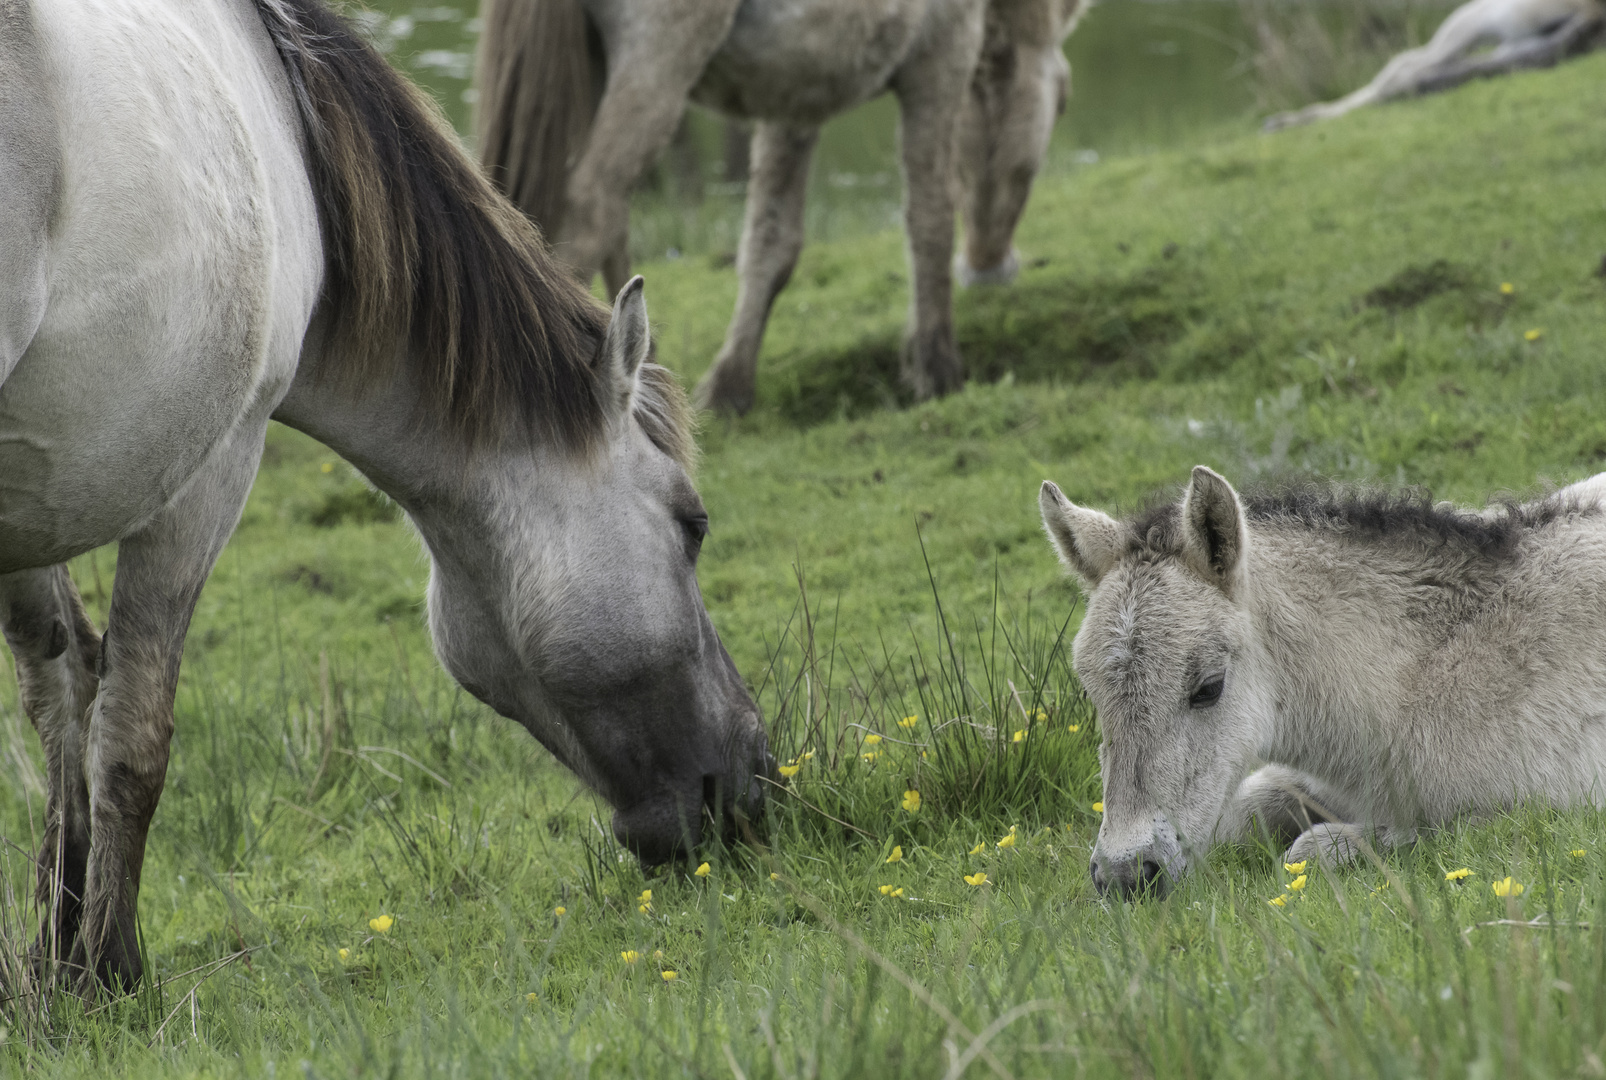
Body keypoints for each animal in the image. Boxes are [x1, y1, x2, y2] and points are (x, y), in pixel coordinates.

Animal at [0, 0, 767, 989]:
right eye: (693, 524)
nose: (755, 773)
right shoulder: (211, 473)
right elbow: (131, 739)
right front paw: (110, 975)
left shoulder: (31, 503)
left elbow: (63, 704)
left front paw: (57, 972)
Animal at [468, 0, 1085, 414]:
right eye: (1062, 105)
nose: (989, 268)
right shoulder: (942, 59)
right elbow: (928, 218)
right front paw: (935, 369)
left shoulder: (797, 101)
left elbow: (772, 245)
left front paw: (729, 388)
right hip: (659, 64)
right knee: (595, 203)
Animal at [1034, 469, 1606, 900]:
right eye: (1091, 692)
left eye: (1209, 687)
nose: (1124, 876)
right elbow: (1242, 812)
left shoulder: (1534, 810)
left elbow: (1314, 848)